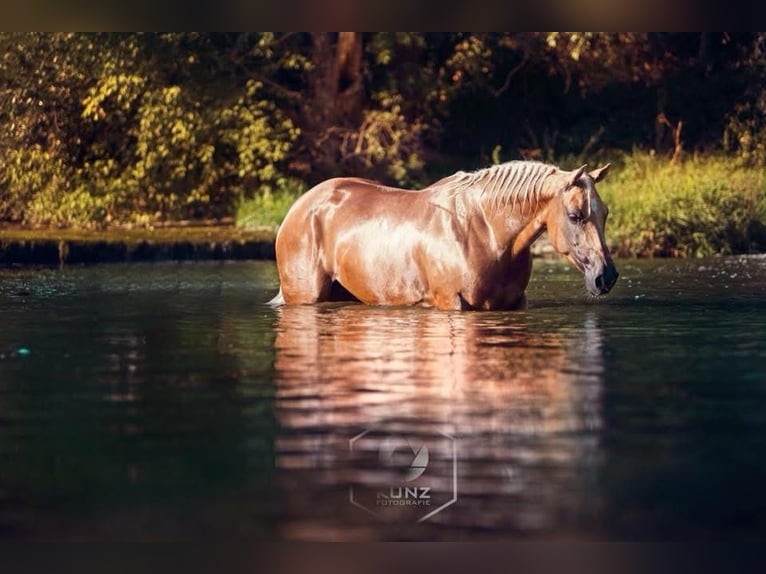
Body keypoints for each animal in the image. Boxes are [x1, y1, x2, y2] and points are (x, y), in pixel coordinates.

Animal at [269, 160, 618, 310]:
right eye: (575, 216)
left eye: (605, 213)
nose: (606, 277)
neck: (486, 234)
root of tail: (300, 208)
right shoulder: (452, 302)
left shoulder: (515, 303)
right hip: (306, 295)